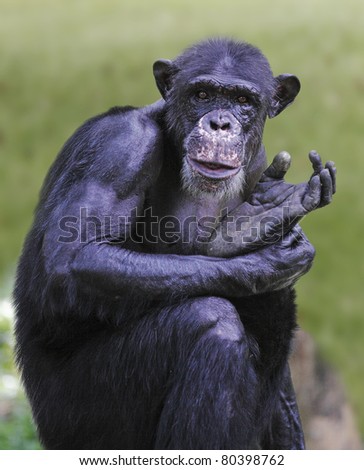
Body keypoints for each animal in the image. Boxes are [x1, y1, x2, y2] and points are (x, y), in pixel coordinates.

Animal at [14, 38, 336, 450]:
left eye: (243, 100)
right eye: (202, 94)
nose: (220, 122)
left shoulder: (258, 163)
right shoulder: (120, 147)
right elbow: (74, 258)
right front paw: (252, 255)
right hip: (78, 420)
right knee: (210, 323)